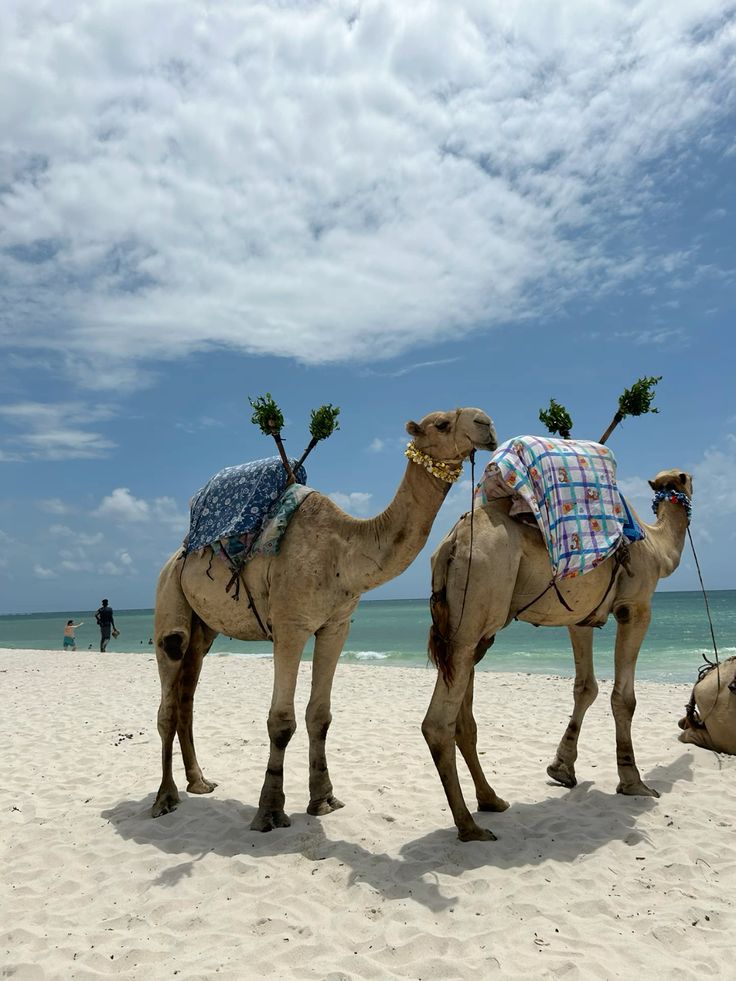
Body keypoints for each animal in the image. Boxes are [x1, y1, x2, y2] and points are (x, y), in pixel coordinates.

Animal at [152, 407, 497, 831]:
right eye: (443, 424)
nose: (486, 425)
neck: (342, 551)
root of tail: (178, 554)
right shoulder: (290, 625)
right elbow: (281, 720)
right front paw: (269, 811)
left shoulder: (336, 626)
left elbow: (320, 715)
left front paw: (323, 799)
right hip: (170, 597)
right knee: (169, 692)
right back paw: (165, 798)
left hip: (205, 627)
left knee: (187, 695)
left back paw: (199, 782)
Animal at [423, 467, 693, 841]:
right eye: (688, 481)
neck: (656, 546)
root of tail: (450, 544)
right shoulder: (636, 607)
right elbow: (623, 698)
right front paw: (634, 783)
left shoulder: (580, 616)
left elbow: (586, 687)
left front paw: (562, 769)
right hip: (476, 598)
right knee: (438, 723)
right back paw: (469, 826)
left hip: (468, 629)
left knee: (463, 716)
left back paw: (492, 800)